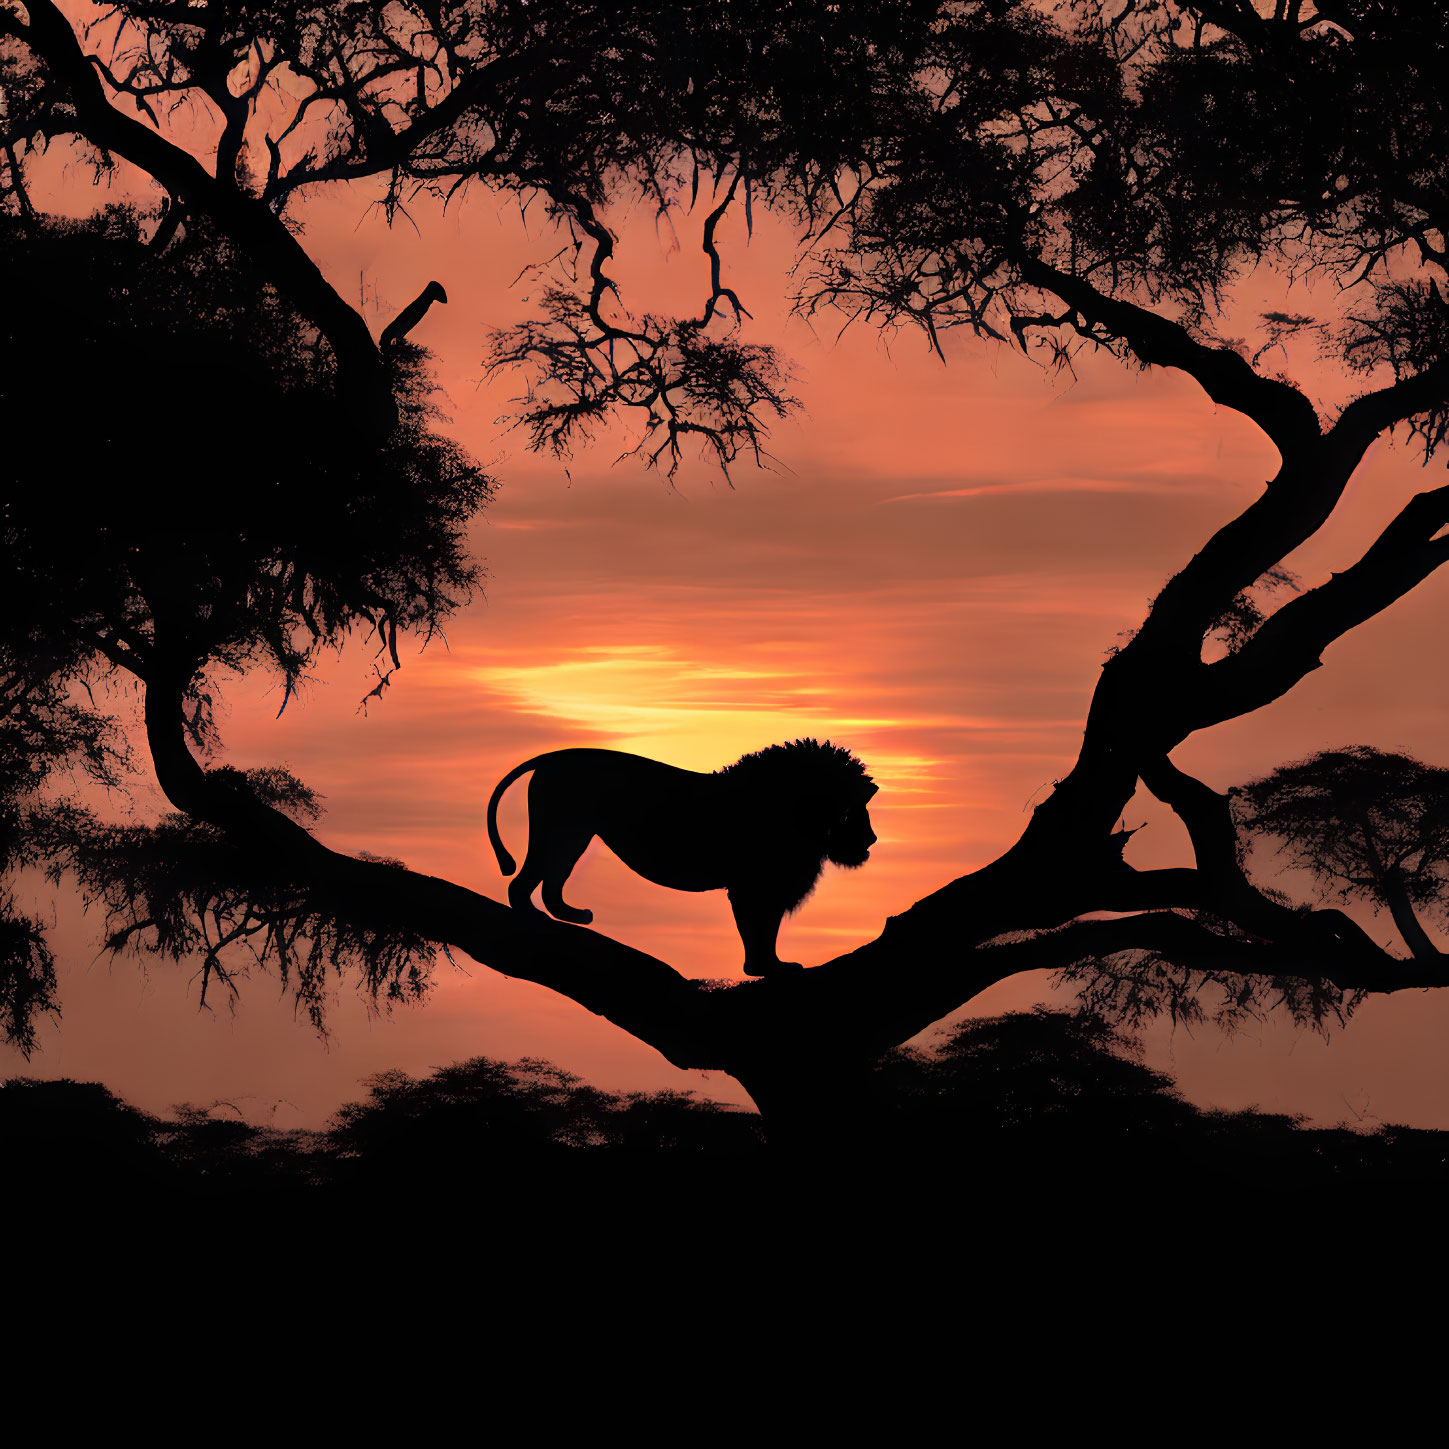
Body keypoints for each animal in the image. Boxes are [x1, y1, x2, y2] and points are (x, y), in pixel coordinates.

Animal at [486, 747, 875, 973]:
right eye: (851, 810)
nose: (871, 839)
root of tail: (549, 758)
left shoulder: (772, 886)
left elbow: (768, 929)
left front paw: (771, 965)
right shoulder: (754, 886)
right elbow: (757, 928)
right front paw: (764, 968)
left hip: (573, 834)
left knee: (551, 881)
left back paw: (570, 916)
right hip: (560, 827)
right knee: (523, 881)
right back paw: (531, 916)